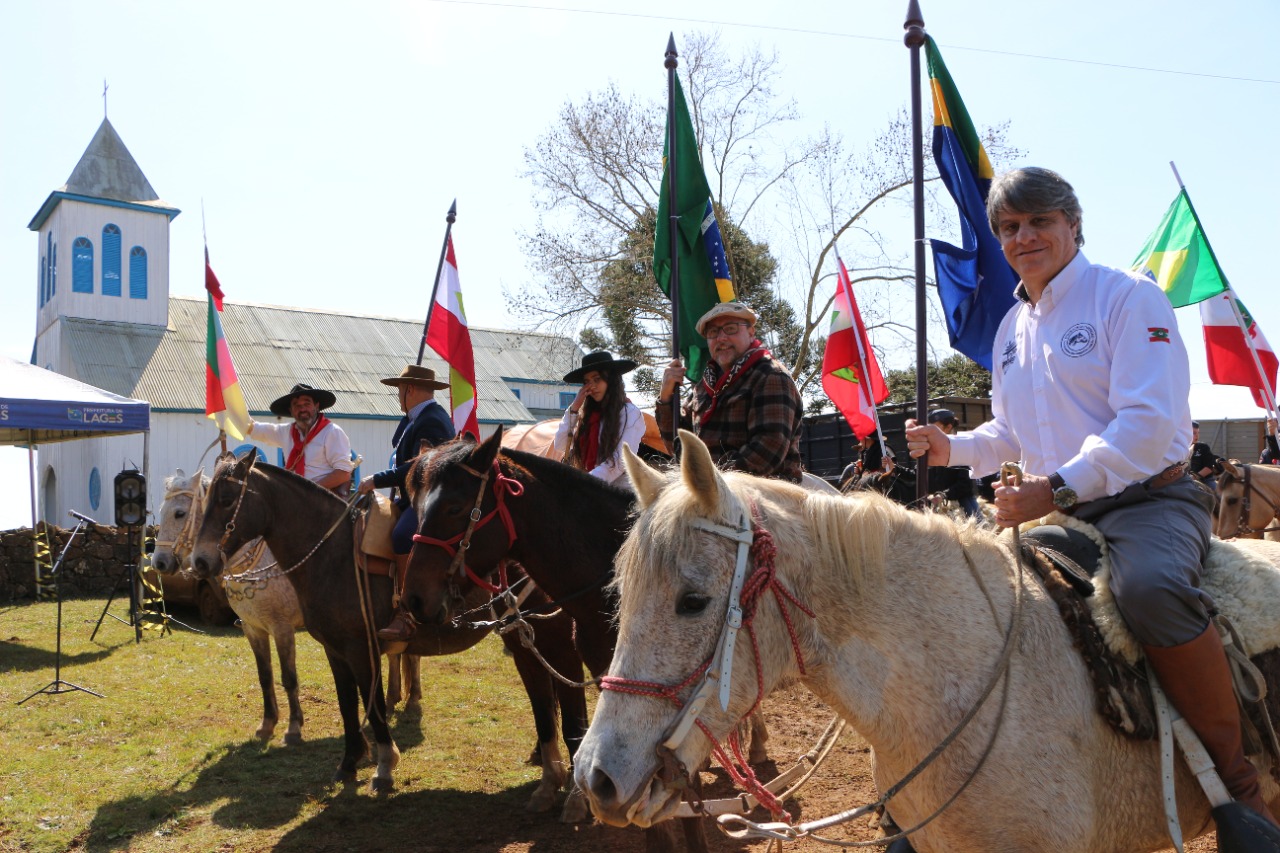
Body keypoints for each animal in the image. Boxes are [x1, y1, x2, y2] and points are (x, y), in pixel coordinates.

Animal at [190, 448, 588, 809]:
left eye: (227, 500)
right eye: (204, 501)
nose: (199, 562)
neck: (333, 556)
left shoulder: (360, 650)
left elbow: (376, 705)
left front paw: (383, 766)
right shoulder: (334, 650)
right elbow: (348, 705)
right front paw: (348, 763)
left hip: (552, 638)